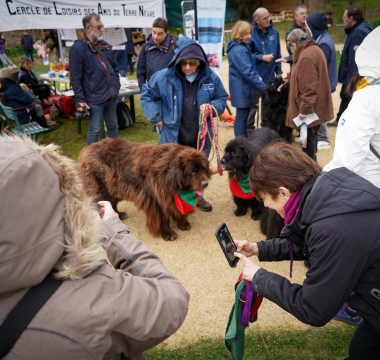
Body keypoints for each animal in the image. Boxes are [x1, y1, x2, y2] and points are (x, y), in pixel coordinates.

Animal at [78, 139, 211, 240]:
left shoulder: (169, 198)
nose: (205, 183)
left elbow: (178, 211)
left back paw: (118, 215)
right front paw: (167, 233)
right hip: (101, 189)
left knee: (111, 203)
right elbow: (164, 218)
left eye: (203, 169)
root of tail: (86, 149)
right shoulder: (157, 200)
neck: (169, 175)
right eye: (192, 172)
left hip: (113, 187)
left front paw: (183, 223)